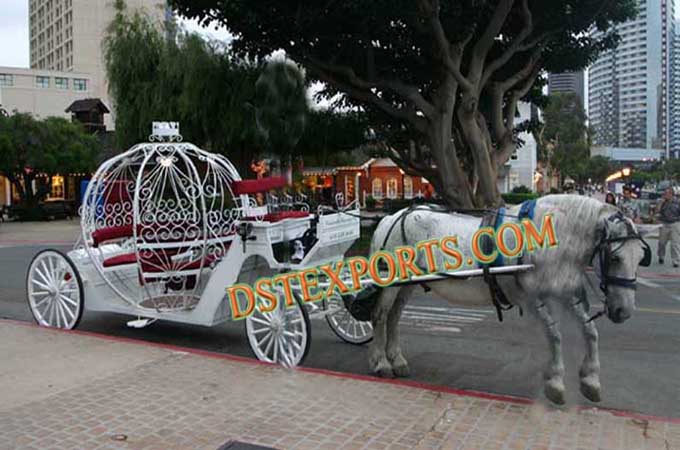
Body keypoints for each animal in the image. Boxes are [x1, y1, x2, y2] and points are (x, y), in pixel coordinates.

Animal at [370, 194, 652, 404]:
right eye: (615, 257)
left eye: (641, 257)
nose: (623, 310)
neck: (552, 239)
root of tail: (391, 217)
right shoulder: (532, 298)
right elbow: (555, 335)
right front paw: (555, 383)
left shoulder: (567, 293)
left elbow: (590, 332)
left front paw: (590, 380)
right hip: (392, 282)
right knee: (381, 316)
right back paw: (382, 362)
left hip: (408, 284)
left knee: (395, 316)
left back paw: (397, 359)